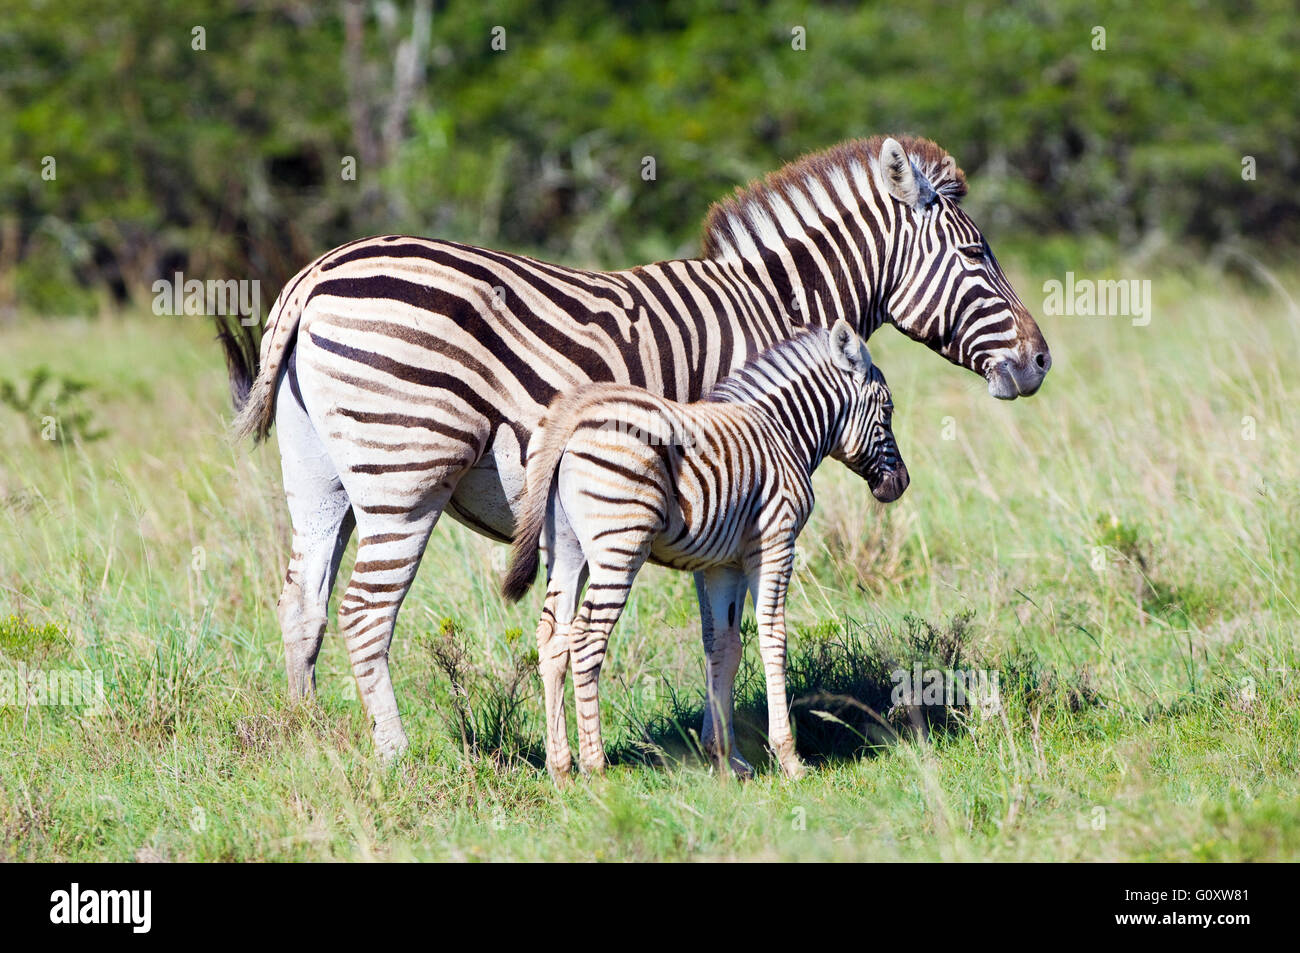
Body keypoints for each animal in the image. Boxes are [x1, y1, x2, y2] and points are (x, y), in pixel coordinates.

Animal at [501, 319, 909, 780]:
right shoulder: (775, 541)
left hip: (567, 550)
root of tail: (572, 415)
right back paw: (596, 767)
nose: (902, 484)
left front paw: (725, 757)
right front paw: (789, 759)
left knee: (553, 637)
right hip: (620, 545)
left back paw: (562, 769)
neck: (784, 431)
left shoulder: (723, 563)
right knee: (587, 639)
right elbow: (773, 637)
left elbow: (725, 646)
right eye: (888, 410)